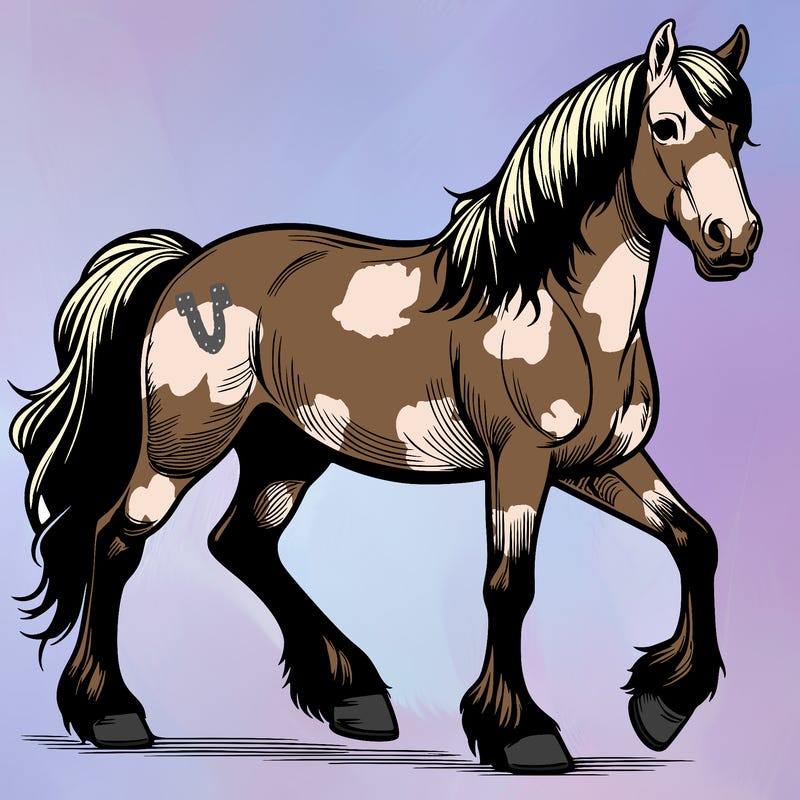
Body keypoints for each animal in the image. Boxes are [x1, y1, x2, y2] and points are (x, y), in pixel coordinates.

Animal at [10, 20, 760, 773]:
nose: (736, 239)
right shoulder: (520, 461)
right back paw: (112, 714)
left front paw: (662, 706)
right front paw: (522, 733)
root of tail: (186, 267)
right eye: (665, 126)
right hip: (183, 446)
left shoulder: (600, 463)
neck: (558, 307)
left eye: (741, 132)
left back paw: (354, 697)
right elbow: (509, 585)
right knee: (115, 541)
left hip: (287, 450)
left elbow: (696, 539)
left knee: (241, 542)